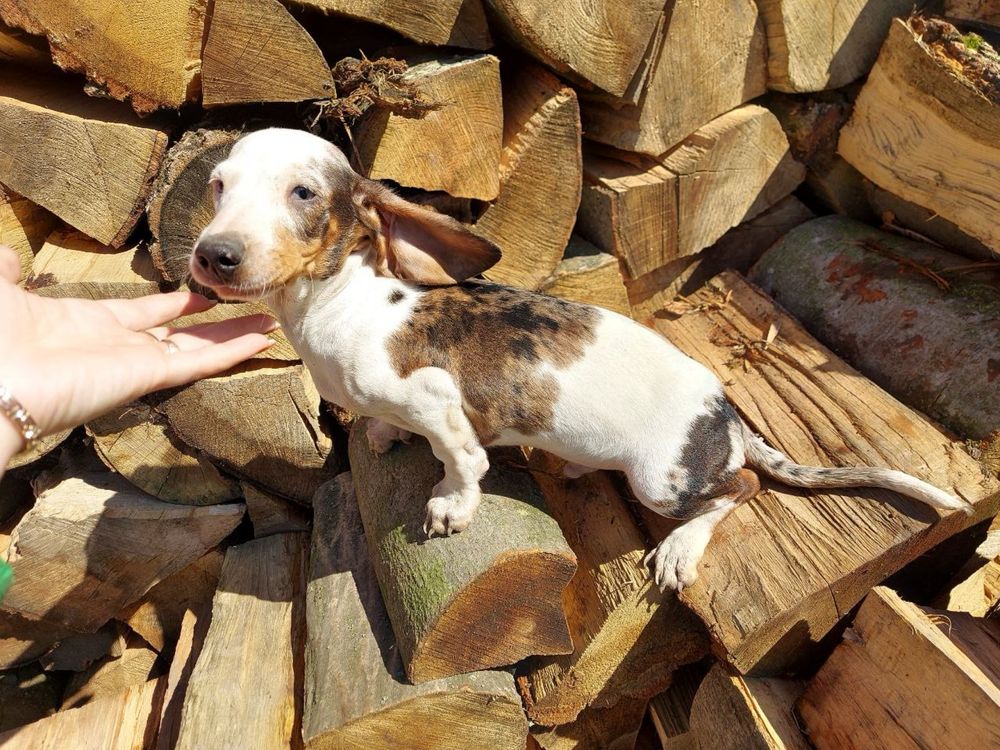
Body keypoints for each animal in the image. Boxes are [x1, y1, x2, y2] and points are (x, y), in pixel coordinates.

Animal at [188, 128, 968, 592]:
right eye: (217, 185)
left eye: (304, 193)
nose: (212, 256)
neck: (340, 306)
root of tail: (729, 418)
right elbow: (388, 427)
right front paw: (379, 434)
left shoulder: (439, 402)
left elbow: (460, 462)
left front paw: (450, 506)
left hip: (661, 481)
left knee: (740, 490)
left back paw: (681, 548)